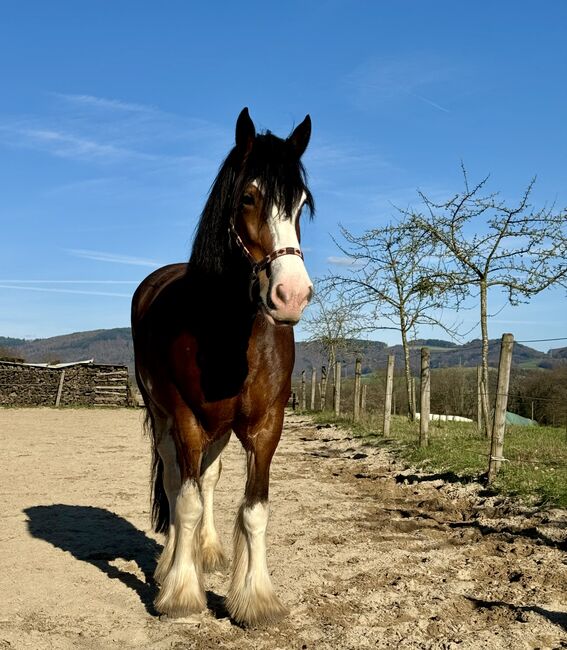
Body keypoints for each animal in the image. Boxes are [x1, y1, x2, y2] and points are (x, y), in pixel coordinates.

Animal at [132, 106, 316, 624]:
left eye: (301, 205)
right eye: (249, 197)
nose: (292, 295)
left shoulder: (266, 426)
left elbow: (254, 509)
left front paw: (255, 598)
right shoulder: (187, 420)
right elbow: (187, 501)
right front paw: (180, 592)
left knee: (209, 479)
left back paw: (209, 550)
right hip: (165, 418)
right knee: (176, 482)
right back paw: (170, 562)